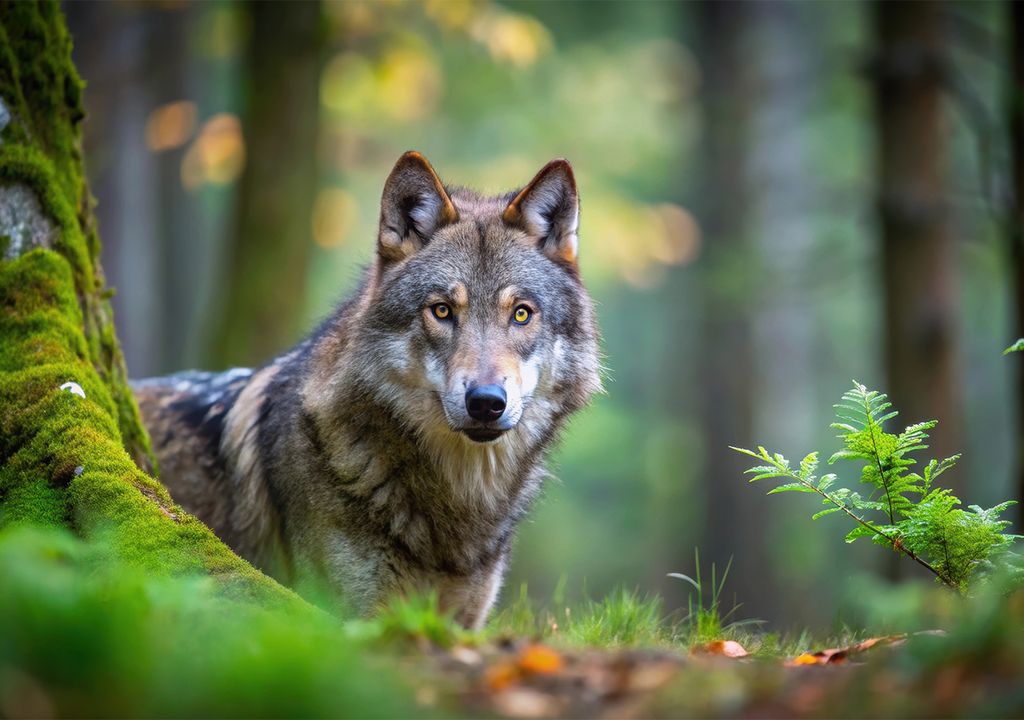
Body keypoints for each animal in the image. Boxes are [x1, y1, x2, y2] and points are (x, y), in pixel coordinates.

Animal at [133, 152, 601, 627]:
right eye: (442, 311)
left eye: (521, 314)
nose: (486, 403)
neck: (457, 502)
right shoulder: (352, 620)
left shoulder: (464, 622)